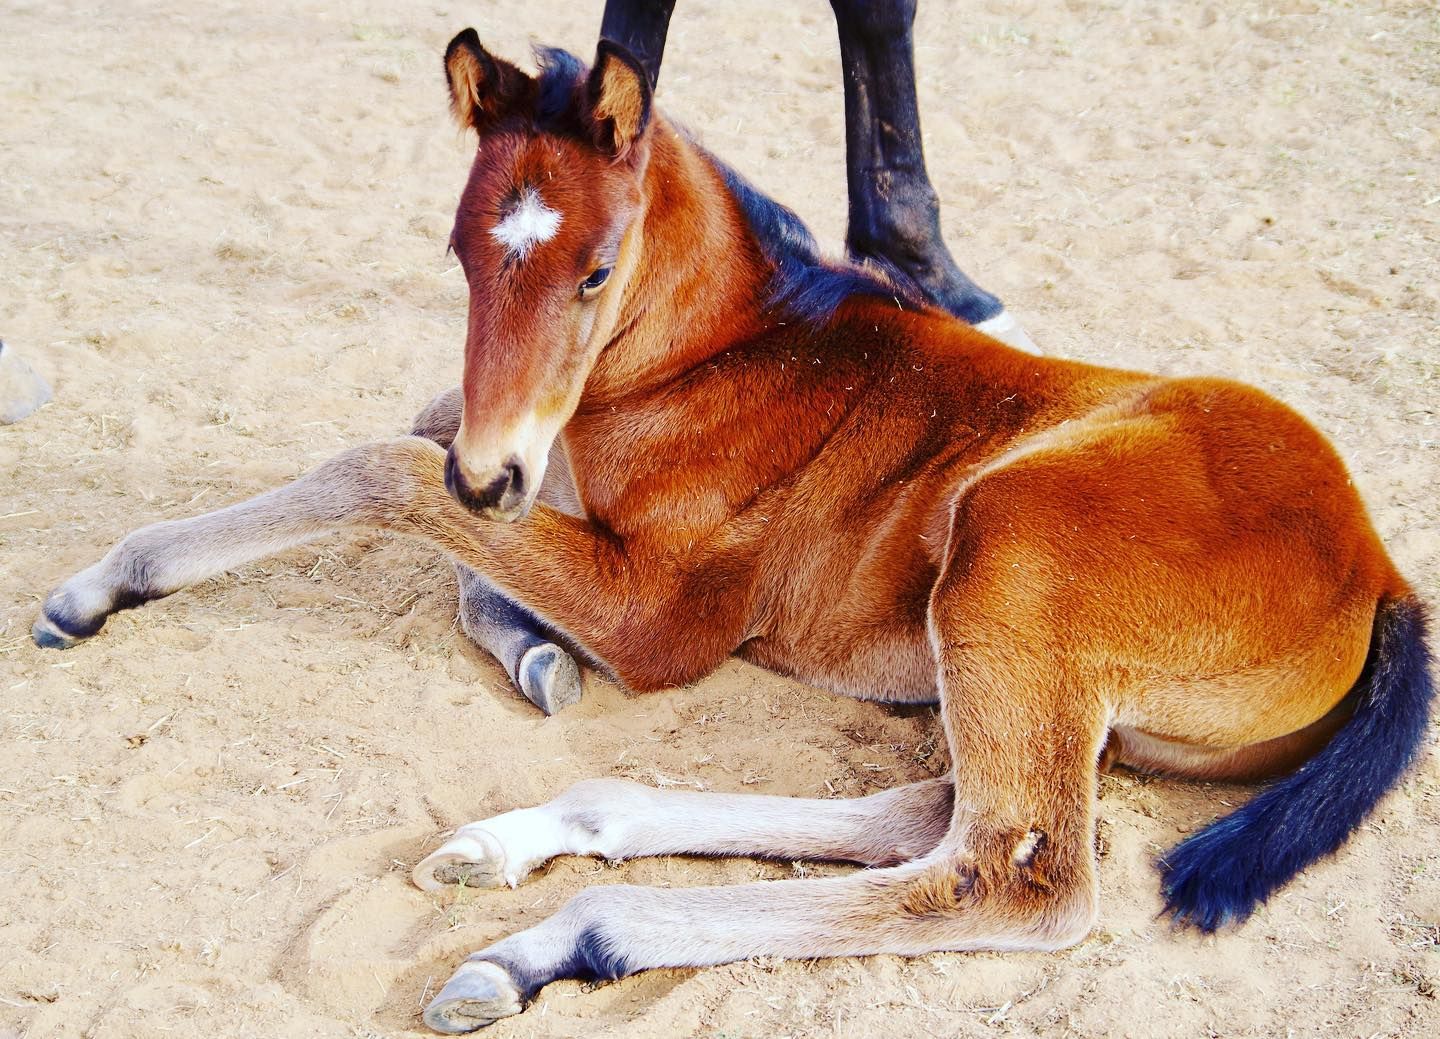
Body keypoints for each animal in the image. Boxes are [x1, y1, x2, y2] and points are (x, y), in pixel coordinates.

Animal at [32, 32, 1433, 1036]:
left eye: (595, 270)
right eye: (459, 252)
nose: (496, 476)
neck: (718, 355)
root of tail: (1383, 570)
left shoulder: (663, 618)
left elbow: (382, 465)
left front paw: (103, 582)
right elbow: (431, 466)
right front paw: (532, 647)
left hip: (1010, 548)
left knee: (1006, 869)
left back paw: (567, 936)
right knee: (933, 805)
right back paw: (519, 848)